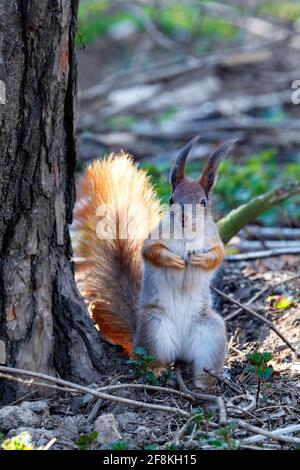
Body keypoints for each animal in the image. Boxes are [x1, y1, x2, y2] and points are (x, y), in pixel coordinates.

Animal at [73, 137, 234, 390]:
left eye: (203, 202)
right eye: (171, 199)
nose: (183, 217)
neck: (187, 234)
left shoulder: (214, 240)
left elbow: (217, 255)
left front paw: (198, 259)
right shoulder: (153, 239)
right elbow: (150, 252)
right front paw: (175, 260)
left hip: (211, 332)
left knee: (204, 362)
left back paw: (206, 382)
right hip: (154, 329)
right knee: (152, 360)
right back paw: (158, 371)